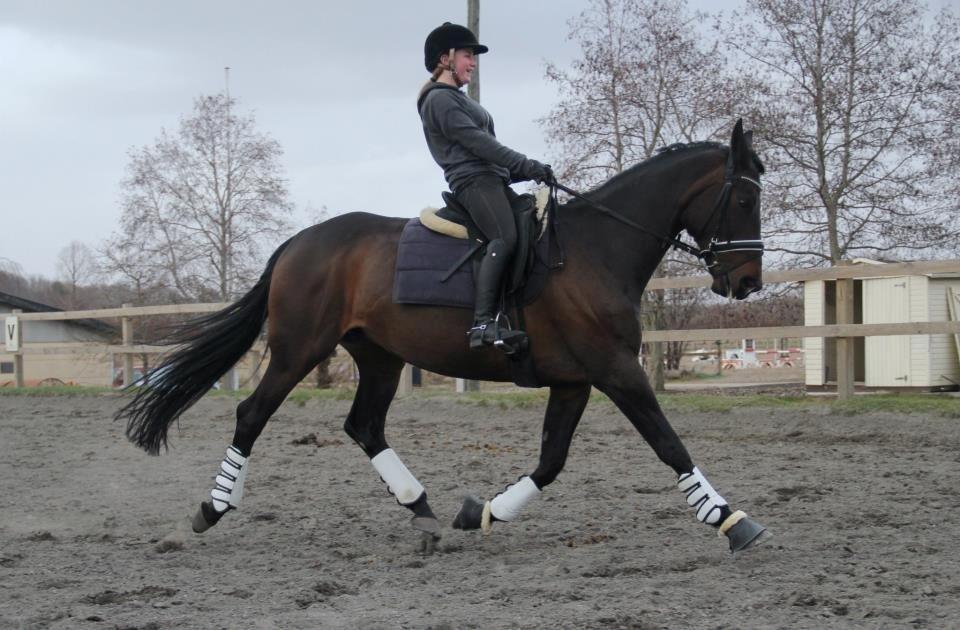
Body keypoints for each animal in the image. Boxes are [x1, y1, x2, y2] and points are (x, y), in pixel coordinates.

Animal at [116, 118, 768, 556]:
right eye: (743, 197)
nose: (747, 281)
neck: (595, 249)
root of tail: (298, 243)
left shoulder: (575, 381)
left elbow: (551, 461)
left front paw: (480, 513)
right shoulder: (617, 370)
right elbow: (669, 444)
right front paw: (733, 521)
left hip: (378, 358)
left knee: (364, 426)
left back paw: (422, 510)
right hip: (299, 350)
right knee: (252, 414)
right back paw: (211, 509)